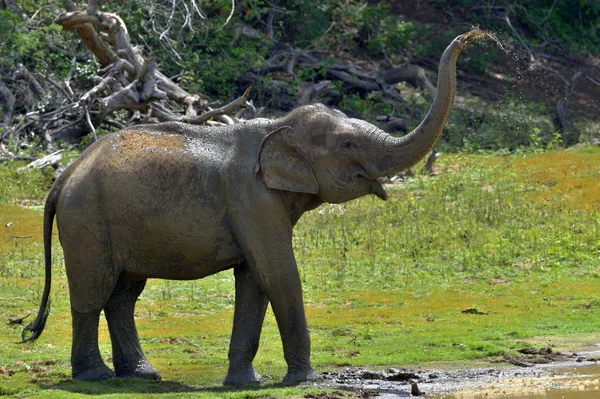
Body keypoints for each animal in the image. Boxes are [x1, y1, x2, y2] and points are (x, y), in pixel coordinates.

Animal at [22, 33, 474, 388]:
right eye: (348, 144)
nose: (471, 38)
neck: (277, 125)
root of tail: (65, 174)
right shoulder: (252, 199)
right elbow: (279, 273)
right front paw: (304, 381)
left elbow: (255, 280)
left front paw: (246, 383)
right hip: (87, 217)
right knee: (93, 291)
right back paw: (95, 377)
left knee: (124, 294)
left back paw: (141, 375)